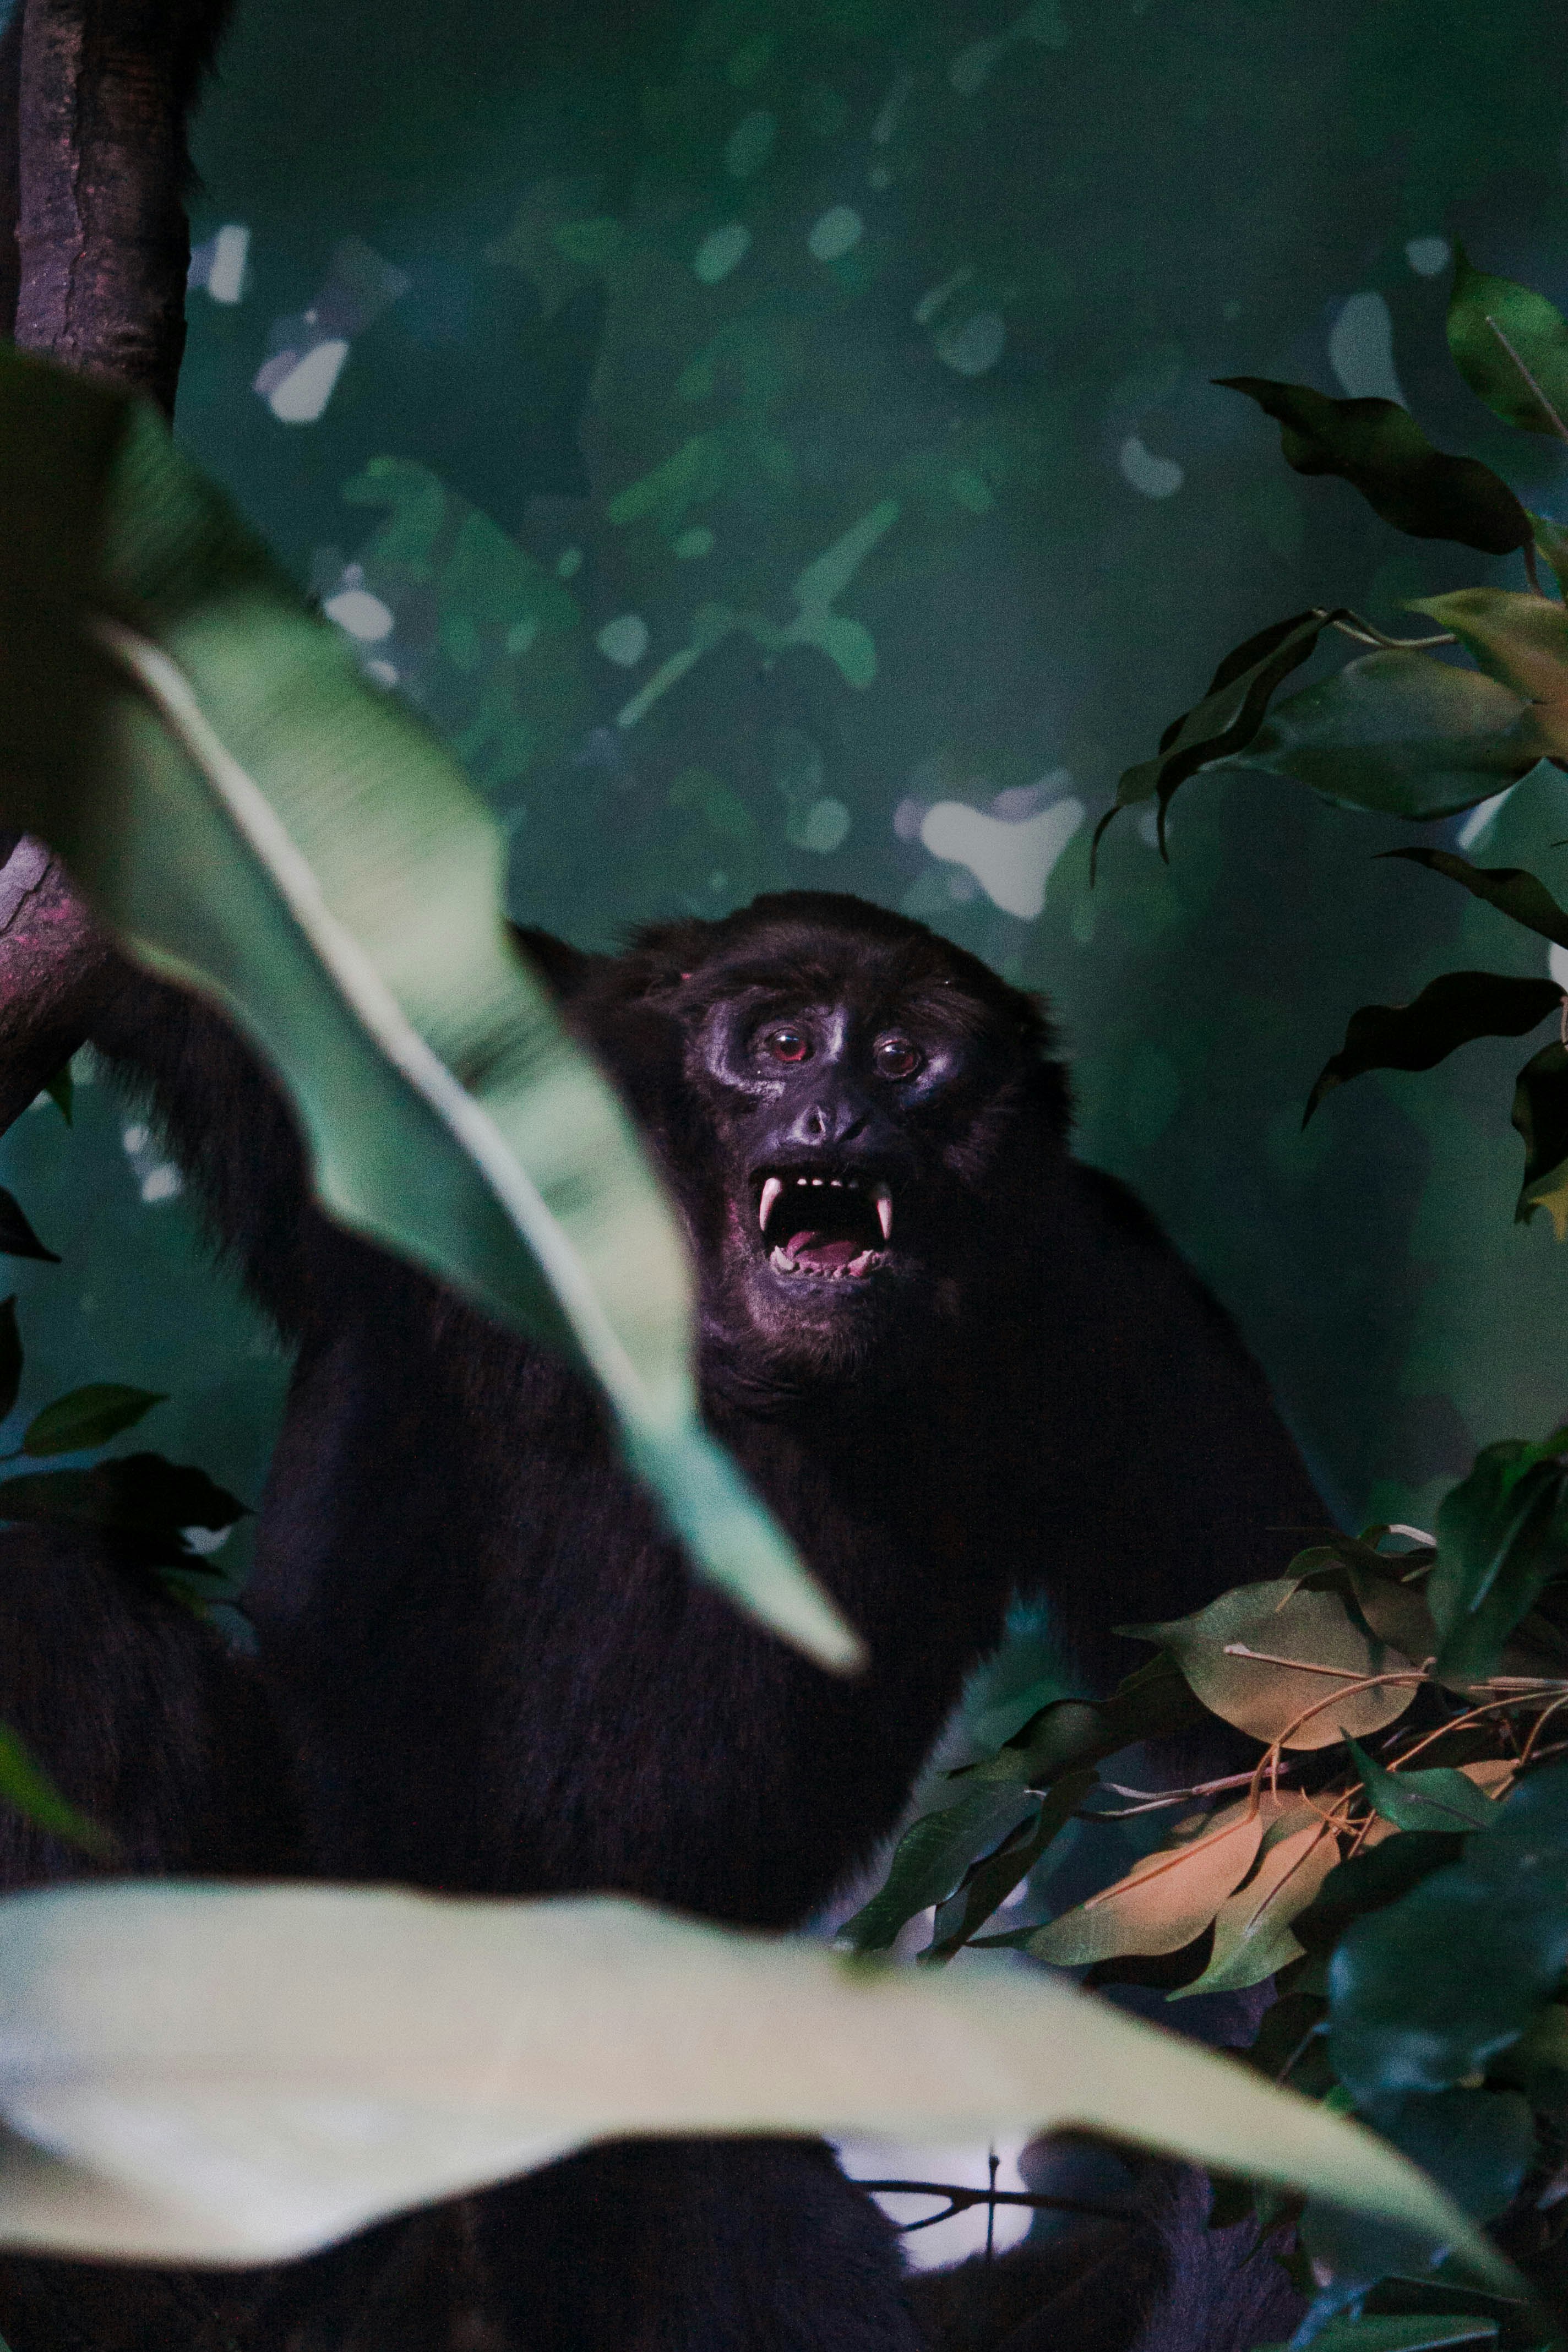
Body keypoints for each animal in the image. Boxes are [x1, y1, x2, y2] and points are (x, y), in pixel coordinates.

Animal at [0, 889, 1326, 2352]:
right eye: (783, 1041)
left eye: (905, 1058)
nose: (835, 1114)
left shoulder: (1112, 1312)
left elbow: (1274, 1735)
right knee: (57, 1609)